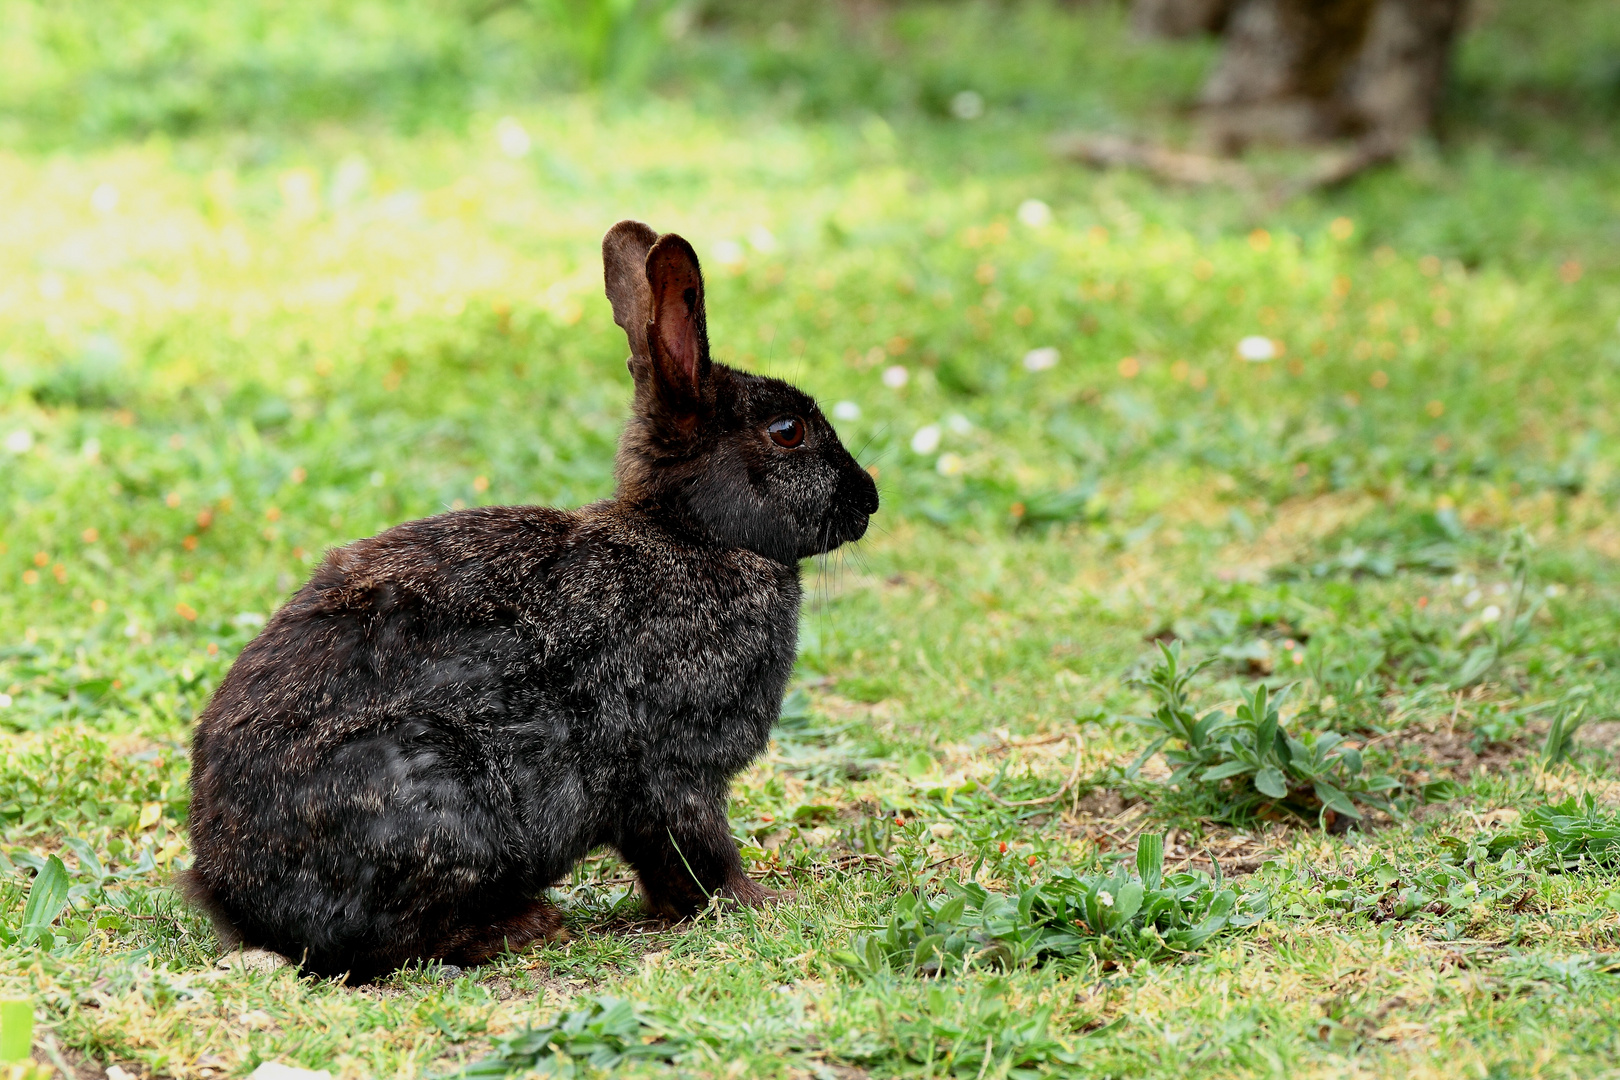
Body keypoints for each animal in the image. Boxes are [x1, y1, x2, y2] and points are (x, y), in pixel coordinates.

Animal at [183, 216, 881, 977]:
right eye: (788, 432)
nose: (869, 499)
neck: (694, 533)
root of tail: (232, 892)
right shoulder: (676, 771)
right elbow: (696, 852)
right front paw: (757, 902)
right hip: (435, 800)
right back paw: (528, 927)